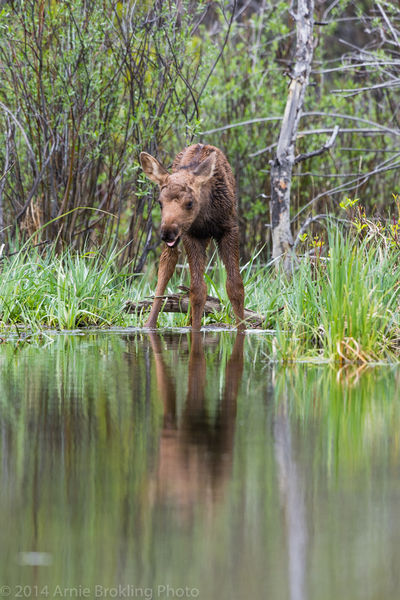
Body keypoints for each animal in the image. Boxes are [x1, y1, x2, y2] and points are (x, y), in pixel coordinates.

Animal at [141, 144, 247, 332]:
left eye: (189, 203)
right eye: (160, 203)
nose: (167, 233)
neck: (205, 215)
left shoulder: (229, 229)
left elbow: (235, 285)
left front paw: (242, 328)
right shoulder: (191, 234)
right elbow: (198, 290)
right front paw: (195, 330)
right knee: (166, 267)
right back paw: (150, 324)